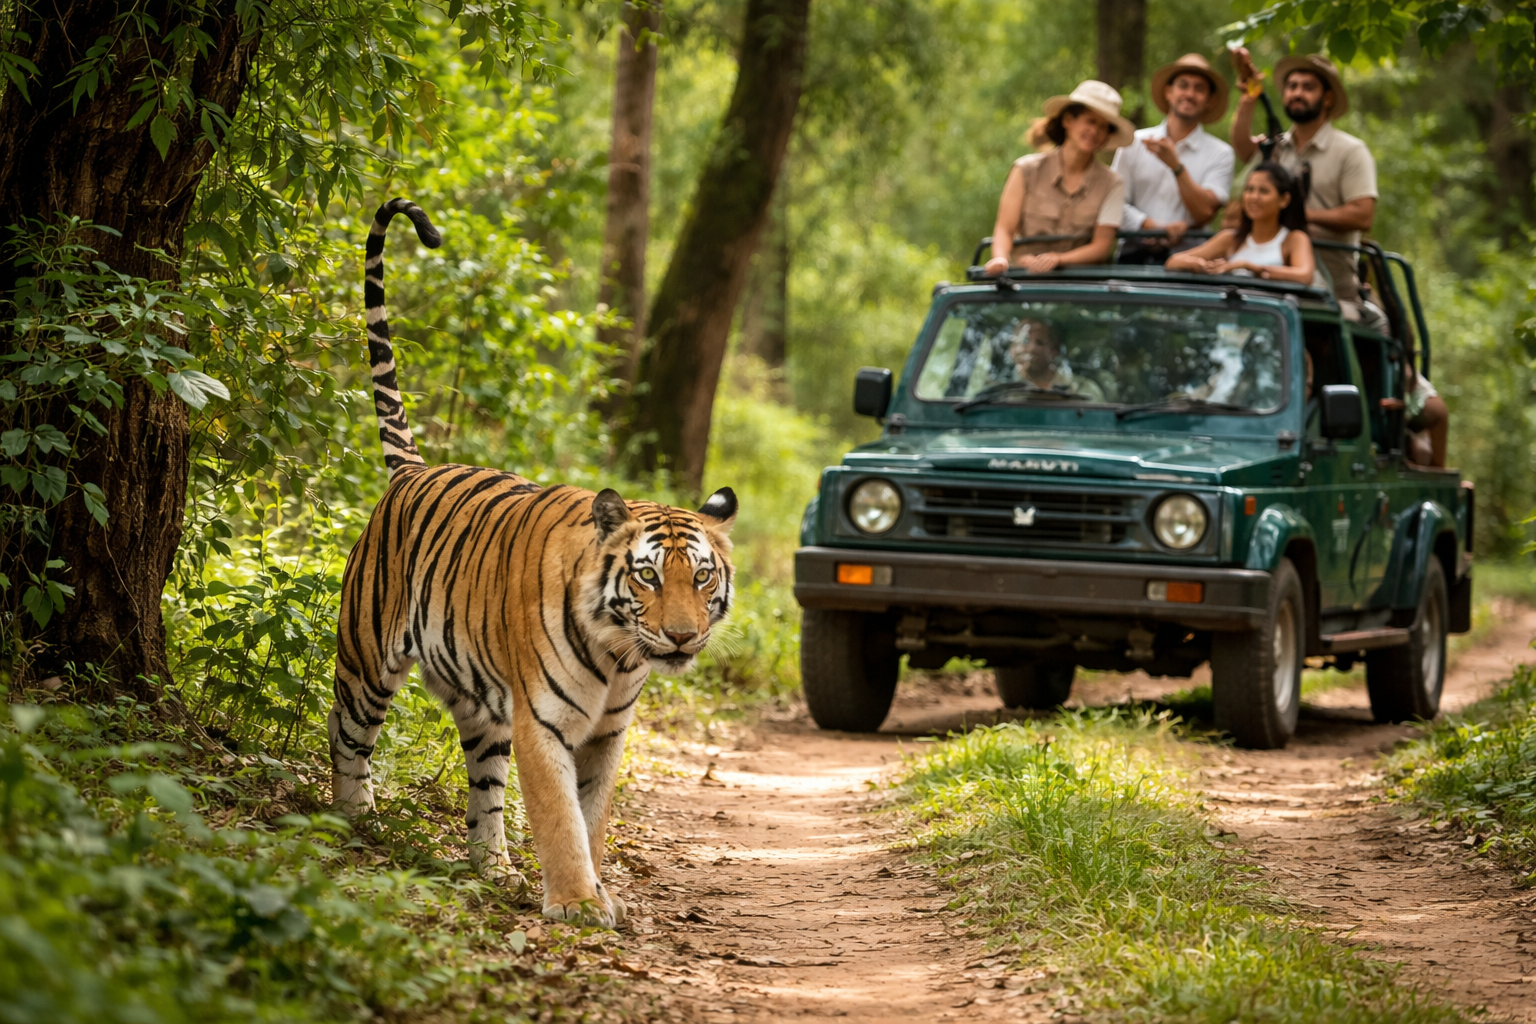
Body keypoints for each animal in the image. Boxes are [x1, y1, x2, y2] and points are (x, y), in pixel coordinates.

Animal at [328, 198, 738, 927]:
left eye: (701, 576)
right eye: (648, 576)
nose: (683, 636)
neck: (619, 655)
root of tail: (414, 470)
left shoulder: (608, 732)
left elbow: (593, 815)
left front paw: (597, 890)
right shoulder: (542, 722)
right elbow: (558, 814)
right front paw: (577, 903)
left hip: (480, 705)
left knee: (483, 785)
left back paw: (490, 866)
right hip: (368, 658)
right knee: (344, 734)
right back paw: (354, 822)